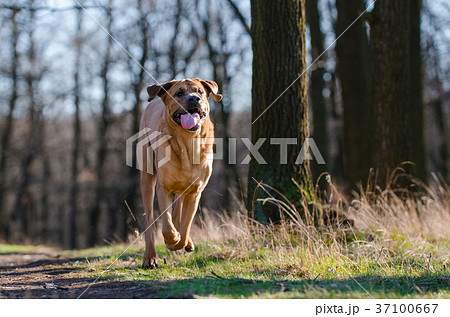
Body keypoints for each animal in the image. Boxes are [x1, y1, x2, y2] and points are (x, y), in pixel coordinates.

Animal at [138, 78, 221, 266]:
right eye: (179, 93)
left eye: (200, 92)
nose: (194, 99)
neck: (187, 142)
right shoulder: (163, 188)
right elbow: (167, 226)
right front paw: (171, 240)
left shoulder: (195, 191)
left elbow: (186, 224)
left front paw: (181, 242)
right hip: (147, 177)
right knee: (149, 220)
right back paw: (150, 257)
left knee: (178, 213)